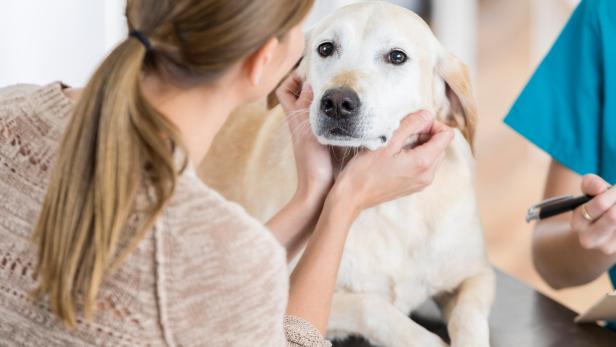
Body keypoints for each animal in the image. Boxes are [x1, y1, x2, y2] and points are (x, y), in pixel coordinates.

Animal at [200, 2, 494, 347]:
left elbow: (469, 318)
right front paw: (425, 340)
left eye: (397, 56)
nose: (337, 102)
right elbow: (372, 306)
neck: (391, 209)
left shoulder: (477, 274)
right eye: (326, 48)